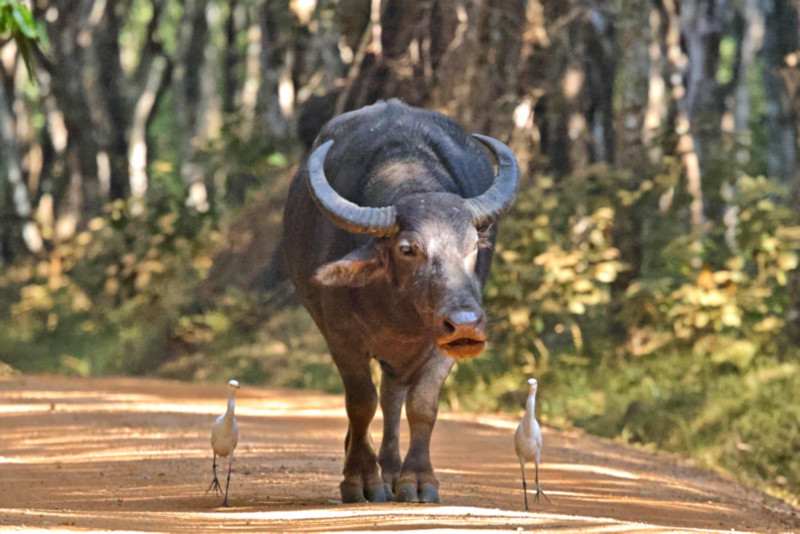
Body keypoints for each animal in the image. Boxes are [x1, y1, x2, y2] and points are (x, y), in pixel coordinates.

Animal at [280, 99, 519, 503]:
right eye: (408, 249)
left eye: (473, 246)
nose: (467, 323)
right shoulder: (341, 337)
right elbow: (360, 402)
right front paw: (360, 479)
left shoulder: (442, 342)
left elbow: (422, 405)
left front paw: (418, 479)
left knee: (393, 394)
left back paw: (391, 470)